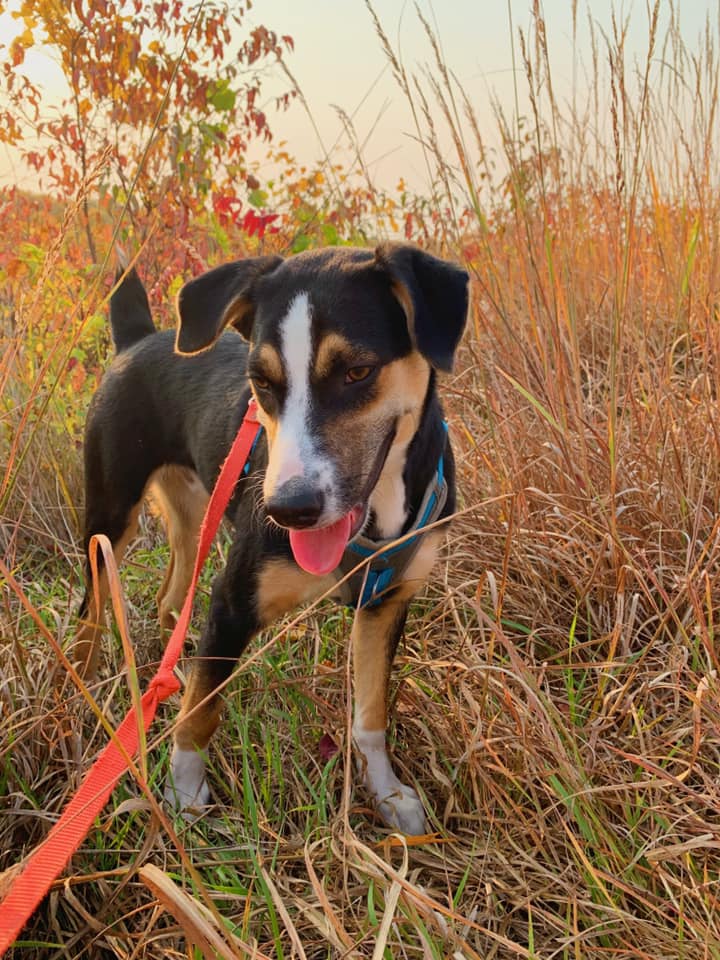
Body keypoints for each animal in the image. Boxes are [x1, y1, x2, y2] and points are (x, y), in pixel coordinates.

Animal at [76, 242, 470, 832]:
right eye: (261, 382)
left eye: (357, 371)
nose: (289, 510)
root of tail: (138, 338)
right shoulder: (232, 601)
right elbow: (201, 709)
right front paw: (183, 794)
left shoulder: (385, 604)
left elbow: (371, 713)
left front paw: (385, 792)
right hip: (110, 513)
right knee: (91, 611)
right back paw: (75, 687)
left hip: (195, 510)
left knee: (172, 596)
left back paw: (173, 659)